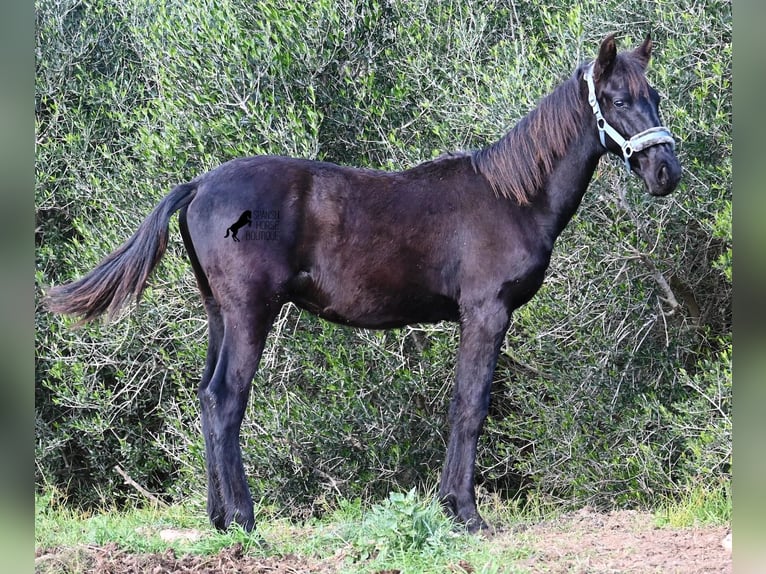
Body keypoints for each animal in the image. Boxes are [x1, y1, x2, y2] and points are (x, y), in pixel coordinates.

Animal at [46, 33, 684, 532]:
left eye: (655, 97)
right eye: (618, 99)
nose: (666, 172)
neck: (510, 197)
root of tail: (200, 184)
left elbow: (461, 403)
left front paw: (450, 506)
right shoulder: (486, 311)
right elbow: (471, 404)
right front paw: (466, 513)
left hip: (219, 315)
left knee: (205, 398)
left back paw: (218, 518)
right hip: (251, 313)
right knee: (226, 399)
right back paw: (246, 520)